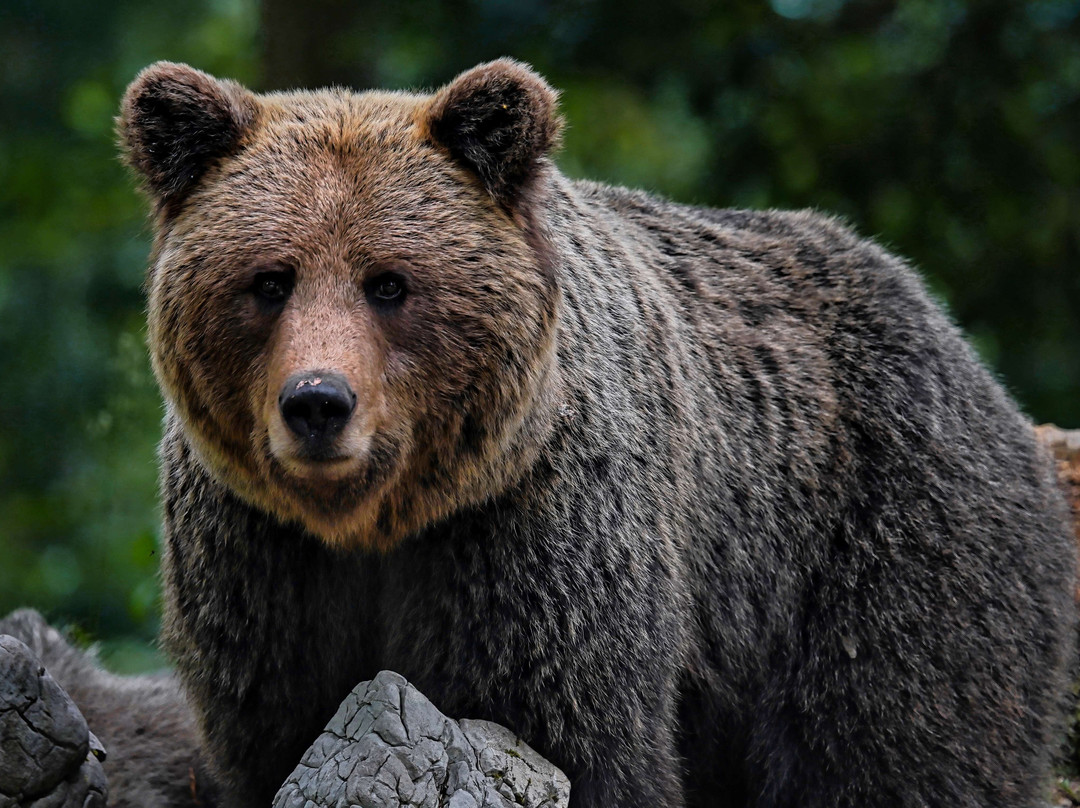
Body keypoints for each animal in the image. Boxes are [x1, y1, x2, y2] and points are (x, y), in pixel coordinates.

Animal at [42, 58, 1080, 808]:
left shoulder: (535, 536)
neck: (379, 523)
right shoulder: (263, 561)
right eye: (269, 279)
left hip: (881, 544)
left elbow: (570, 733)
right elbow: (274, 730)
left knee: (906, 741)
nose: (318, 403)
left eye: (389, 282)